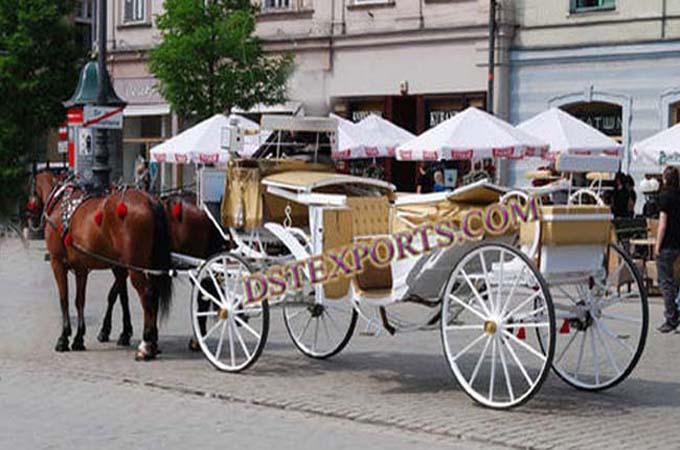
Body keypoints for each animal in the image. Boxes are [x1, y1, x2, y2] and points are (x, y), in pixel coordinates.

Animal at [34, 171, 173, 360]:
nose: (30, 217)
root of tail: (149, 200)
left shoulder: (57, 263)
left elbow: (64, 299)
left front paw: (63, 338)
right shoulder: (82, 268)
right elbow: (82, 300)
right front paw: (79, 338)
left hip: (134, 267)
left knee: (146, 295)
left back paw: (145, 345)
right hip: (149, 265)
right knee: (154, 293)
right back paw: (152, 342)